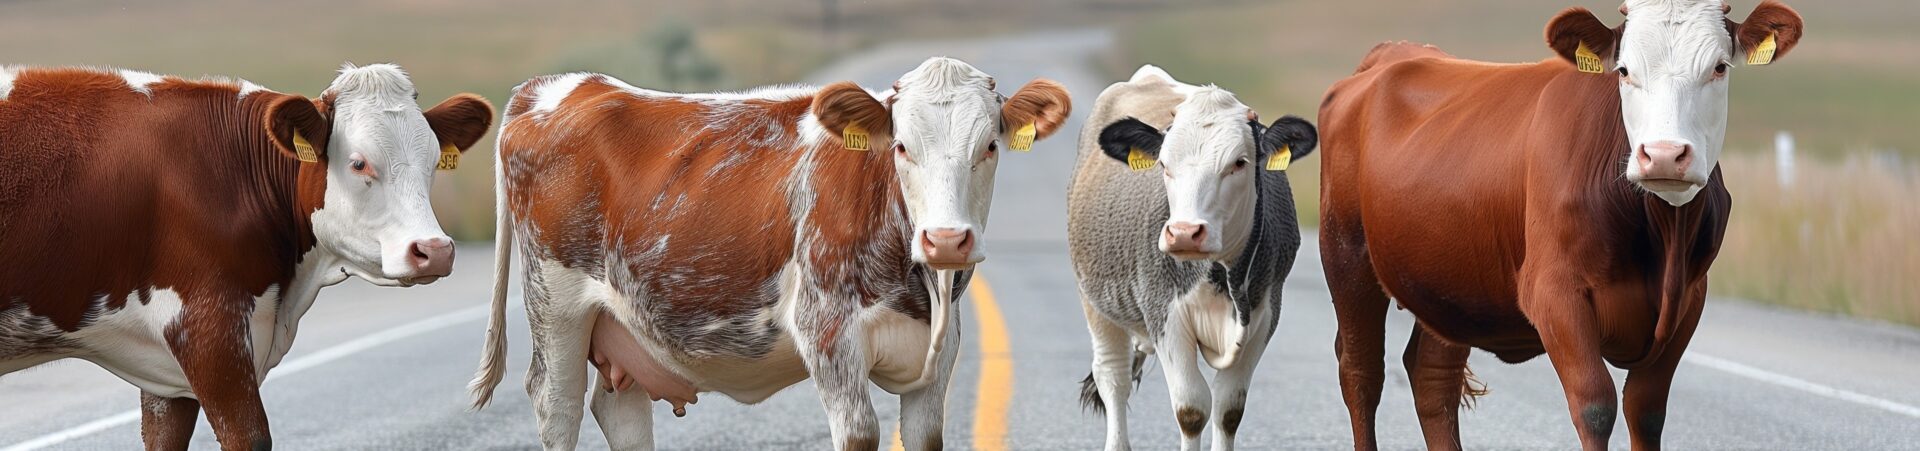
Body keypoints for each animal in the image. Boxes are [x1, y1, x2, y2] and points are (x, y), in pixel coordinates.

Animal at [0, 63, 495, 450]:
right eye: (358, 163)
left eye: (433, 161)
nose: (434, 250)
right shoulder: (210, 330)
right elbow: (249, 436)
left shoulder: (167, 375)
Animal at [468, 57, 1070, 450]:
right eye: (902, 146)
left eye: (989, 146)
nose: (945, 239)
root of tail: (565, 85)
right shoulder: (827, 333)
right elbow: (861, 433)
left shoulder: (938, 355)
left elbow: (924, 435)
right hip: (556, 304)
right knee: (557, 404)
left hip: (625, 318)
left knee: (620, 409)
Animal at [1066, 65, 1316, 451]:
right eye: (1163, 164)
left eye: (1239, 163)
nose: (1184, 232)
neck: (1223, 279)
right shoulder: (1164, 314)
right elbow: (1192, 409)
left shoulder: (1265, 315)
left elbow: (1229, 409)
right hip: (1094, 300)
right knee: (1113, 377)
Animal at [1316, 1, 1803, 449]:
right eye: (1624, 70)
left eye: (1719, 67)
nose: (1664, 155)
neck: (1662, 236)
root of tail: (1392, 53)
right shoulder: (1555, 294)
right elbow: (1595, 406)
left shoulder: (1690, 299)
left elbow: (1645, 410)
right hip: (1346, 254)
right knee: (1361, 372)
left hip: (1450, 279)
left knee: (1432, 377)